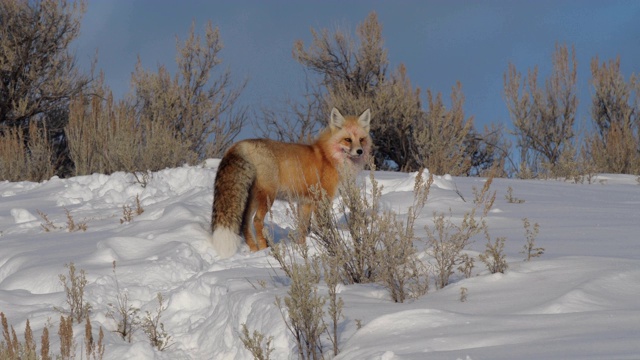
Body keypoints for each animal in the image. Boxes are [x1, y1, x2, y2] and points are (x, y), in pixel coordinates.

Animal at [211, 108, 370, 258]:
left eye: (362, 139)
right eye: (348, 139)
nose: (360, 151)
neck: (329, 157)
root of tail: (241, 144)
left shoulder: (305, 203)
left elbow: (302, 229)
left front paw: (302, 248)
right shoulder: (321, 201)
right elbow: (323, 227)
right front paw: (330, 245)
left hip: (251, 198)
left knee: (245, 222)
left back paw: (254, 250)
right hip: (267, 196)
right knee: (257, 221)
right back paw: (264, 248)